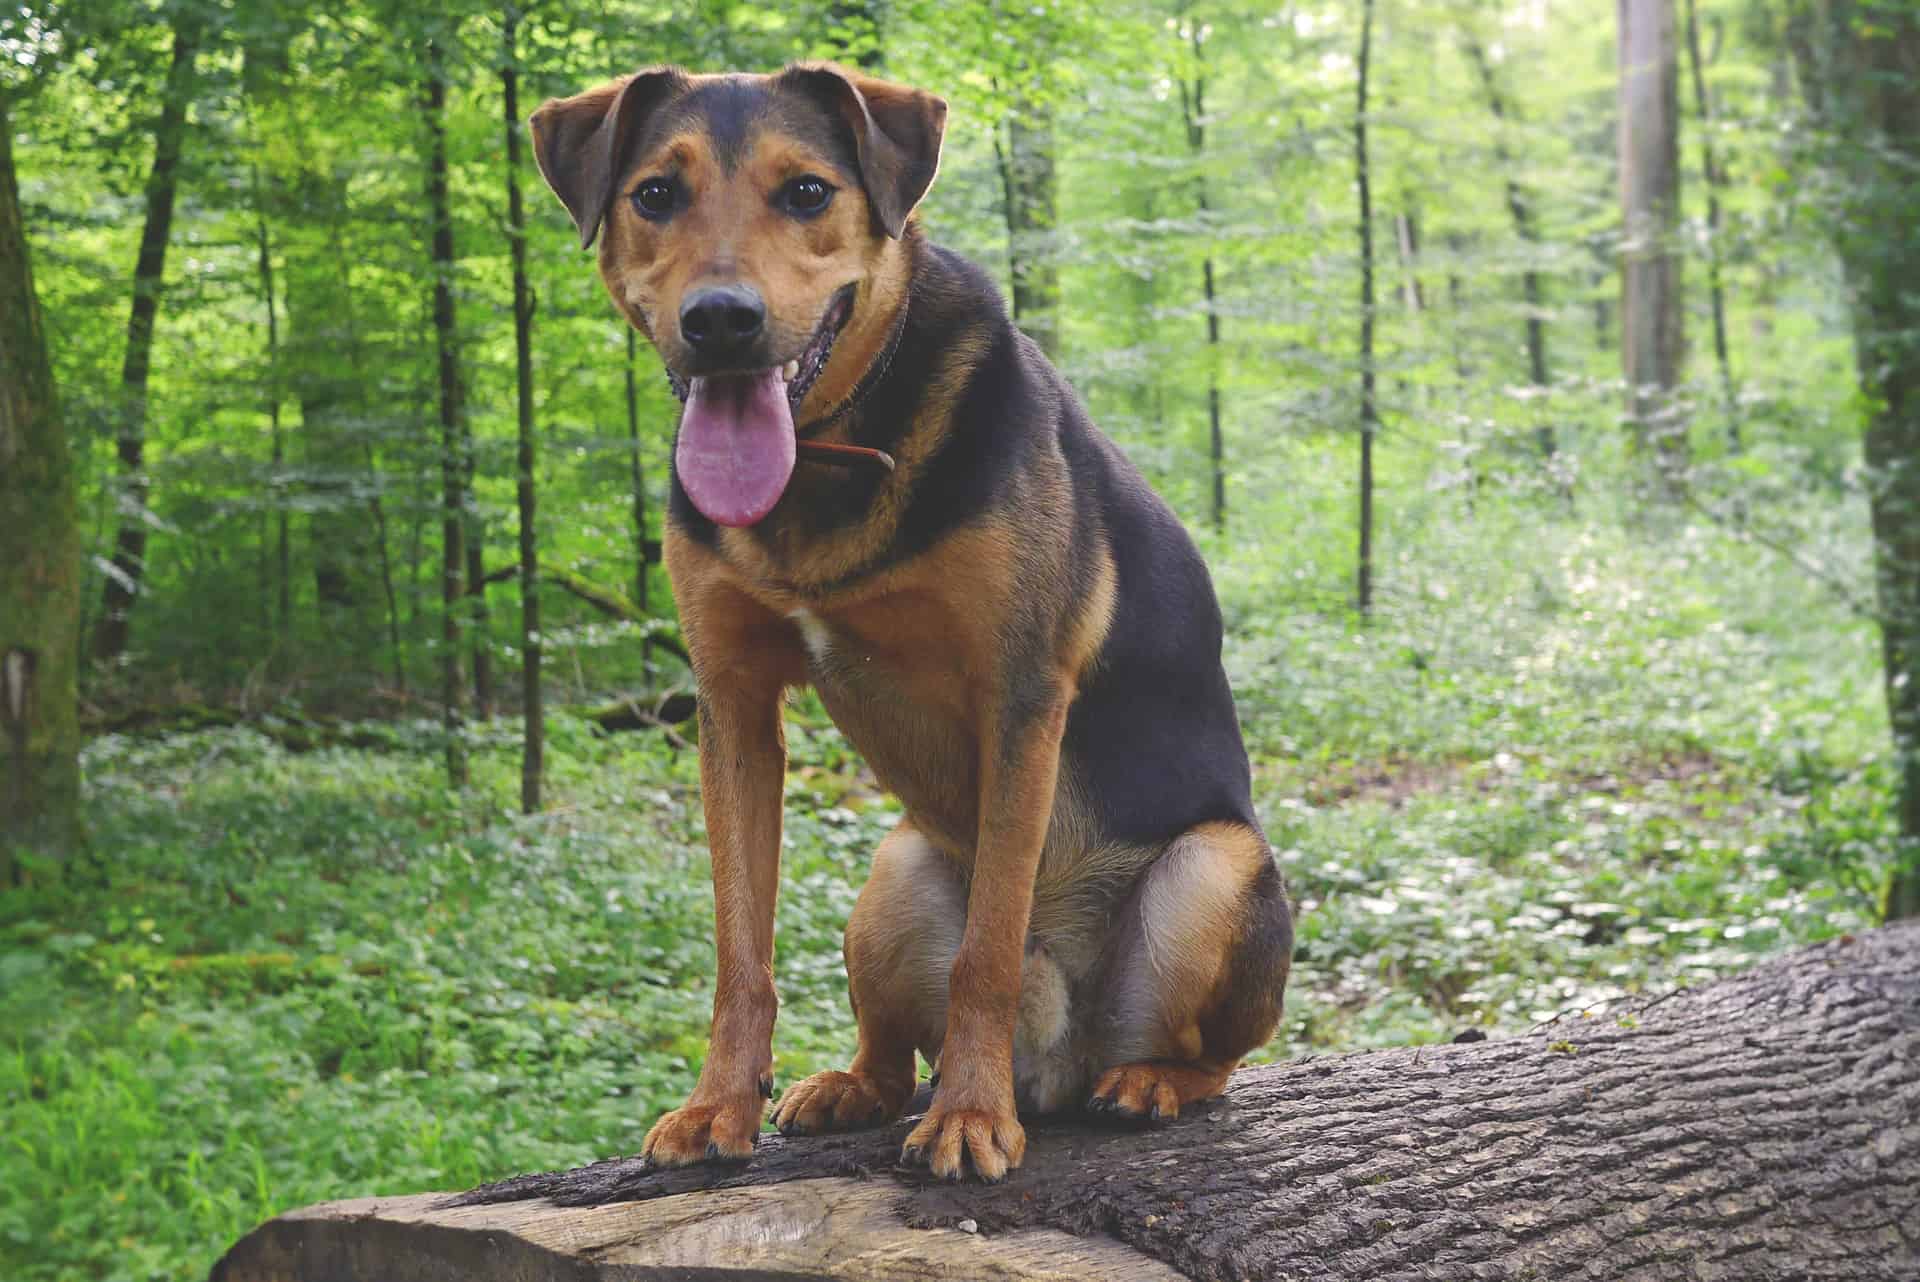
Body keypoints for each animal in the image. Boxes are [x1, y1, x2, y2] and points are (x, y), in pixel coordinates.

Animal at [533, 59, 1297, 1182]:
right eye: (655, 195)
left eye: (808, 192)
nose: (721, 320)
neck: (826, 452)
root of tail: (1057, 1059)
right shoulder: (733, 706)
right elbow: (739, 948)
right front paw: (718, 1104)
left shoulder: (1019, 695)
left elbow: (987, 949)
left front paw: (972, 1118)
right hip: (891, 873)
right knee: (895, 1051)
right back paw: (852, 1085)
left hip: (1217, 869)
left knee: (1214, 1053)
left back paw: (1144, 1080)